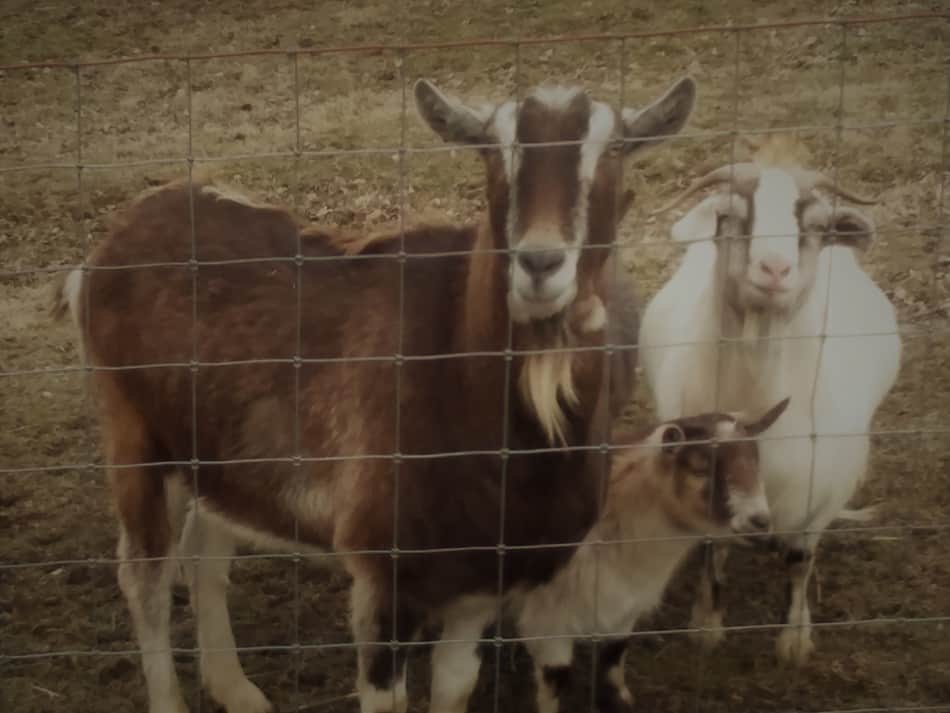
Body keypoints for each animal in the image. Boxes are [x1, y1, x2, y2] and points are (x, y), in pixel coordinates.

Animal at [57, 73, 700, 712]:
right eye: (493, 151)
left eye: (613, 150)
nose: (540, 263)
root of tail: (115, 237)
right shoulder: (386, 576)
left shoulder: (479, 584)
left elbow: (456, 684)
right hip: (132, 433)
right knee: (144, 575)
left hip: (215, 454)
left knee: (205, 555)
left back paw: (237, 689)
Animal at [640, 136, 900, 664]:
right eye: (728, 216)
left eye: (817, 227)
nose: (775, 268)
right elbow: (712, 552)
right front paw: (706, 624)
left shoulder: (821, 498)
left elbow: (800, 561)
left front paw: (794, 638)